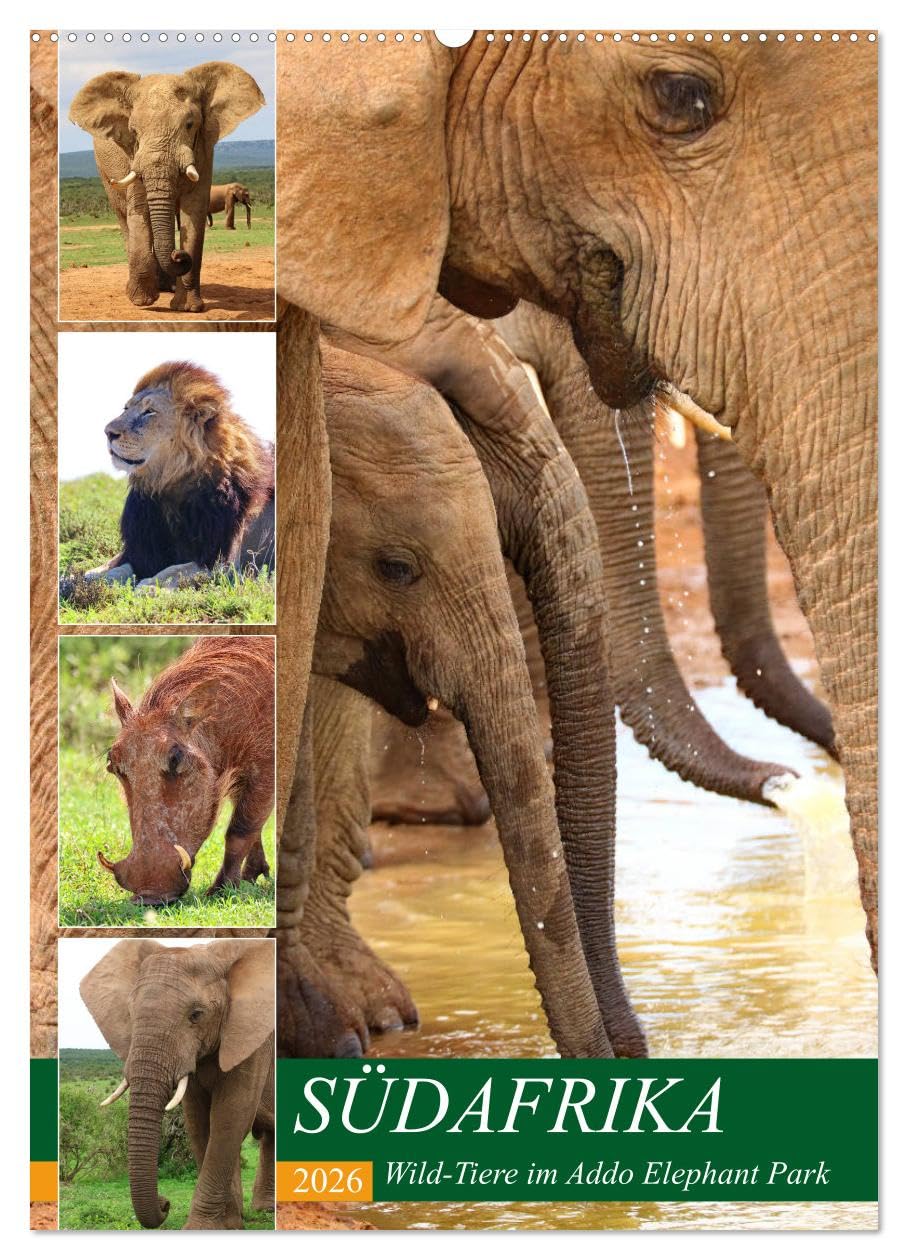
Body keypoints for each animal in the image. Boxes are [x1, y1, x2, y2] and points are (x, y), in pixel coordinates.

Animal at [69, 63, 264, 312]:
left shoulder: (203, 149)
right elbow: (139, 211)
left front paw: (188, 308)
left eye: (190, 125)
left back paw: (167, 286)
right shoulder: (134, 156)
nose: (178, 256)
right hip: (104, 172)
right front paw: (142, 301)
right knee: (124, 218)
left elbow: (194, 212)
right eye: (134, 131)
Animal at [79, 939, 275, 1230]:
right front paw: (229, 1223)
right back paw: (264, 1211)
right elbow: (198, 1123)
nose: (165, 1203)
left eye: (196, 1015)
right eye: (130, 1013)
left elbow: (229, 1118)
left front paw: (204, 1227)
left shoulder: (255, 1038)